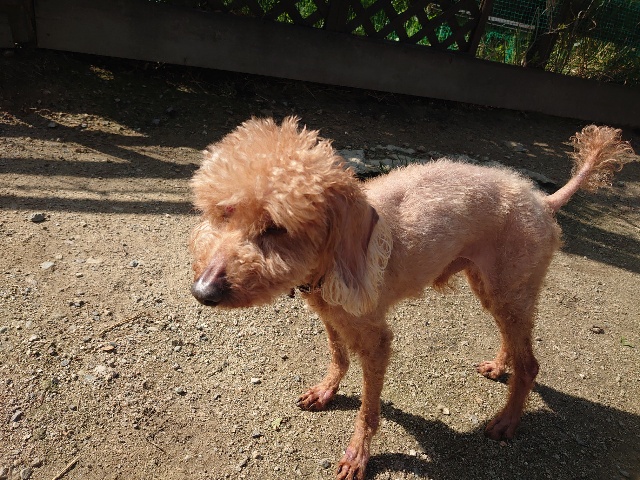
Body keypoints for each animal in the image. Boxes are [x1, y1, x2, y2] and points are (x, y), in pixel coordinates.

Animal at [189, 117, 633, 480]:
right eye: (223, 213)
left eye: (277, 228)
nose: (202, 292)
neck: (327, 265)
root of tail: (542, 200)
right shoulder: (329, 315)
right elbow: (337, 355)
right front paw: (325, 391)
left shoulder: (376, 338)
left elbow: (369, 409)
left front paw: (358, 456)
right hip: (490, 285)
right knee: (512, 339)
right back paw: (498, 368)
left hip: (511, 286)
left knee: (531, 364)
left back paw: (506, 421)